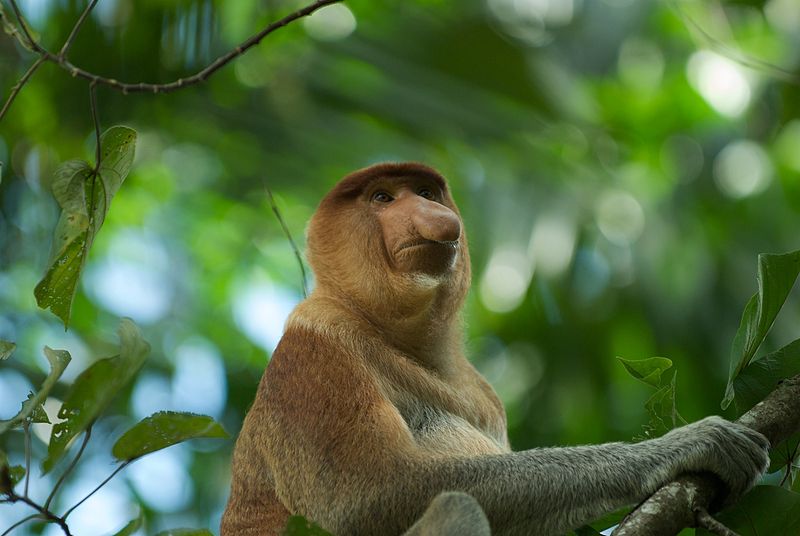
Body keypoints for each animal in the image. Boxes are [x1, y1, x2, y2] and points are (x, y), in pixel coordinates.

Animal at [222, 163, 772, 536]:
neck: (401, 338)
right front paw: (693, 442)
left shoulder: (484, 393)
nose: (435, 215)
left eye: (425, 192)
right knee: (453, 504)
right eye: (382, 197)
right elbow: (366, 497)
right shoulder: (316, 349)